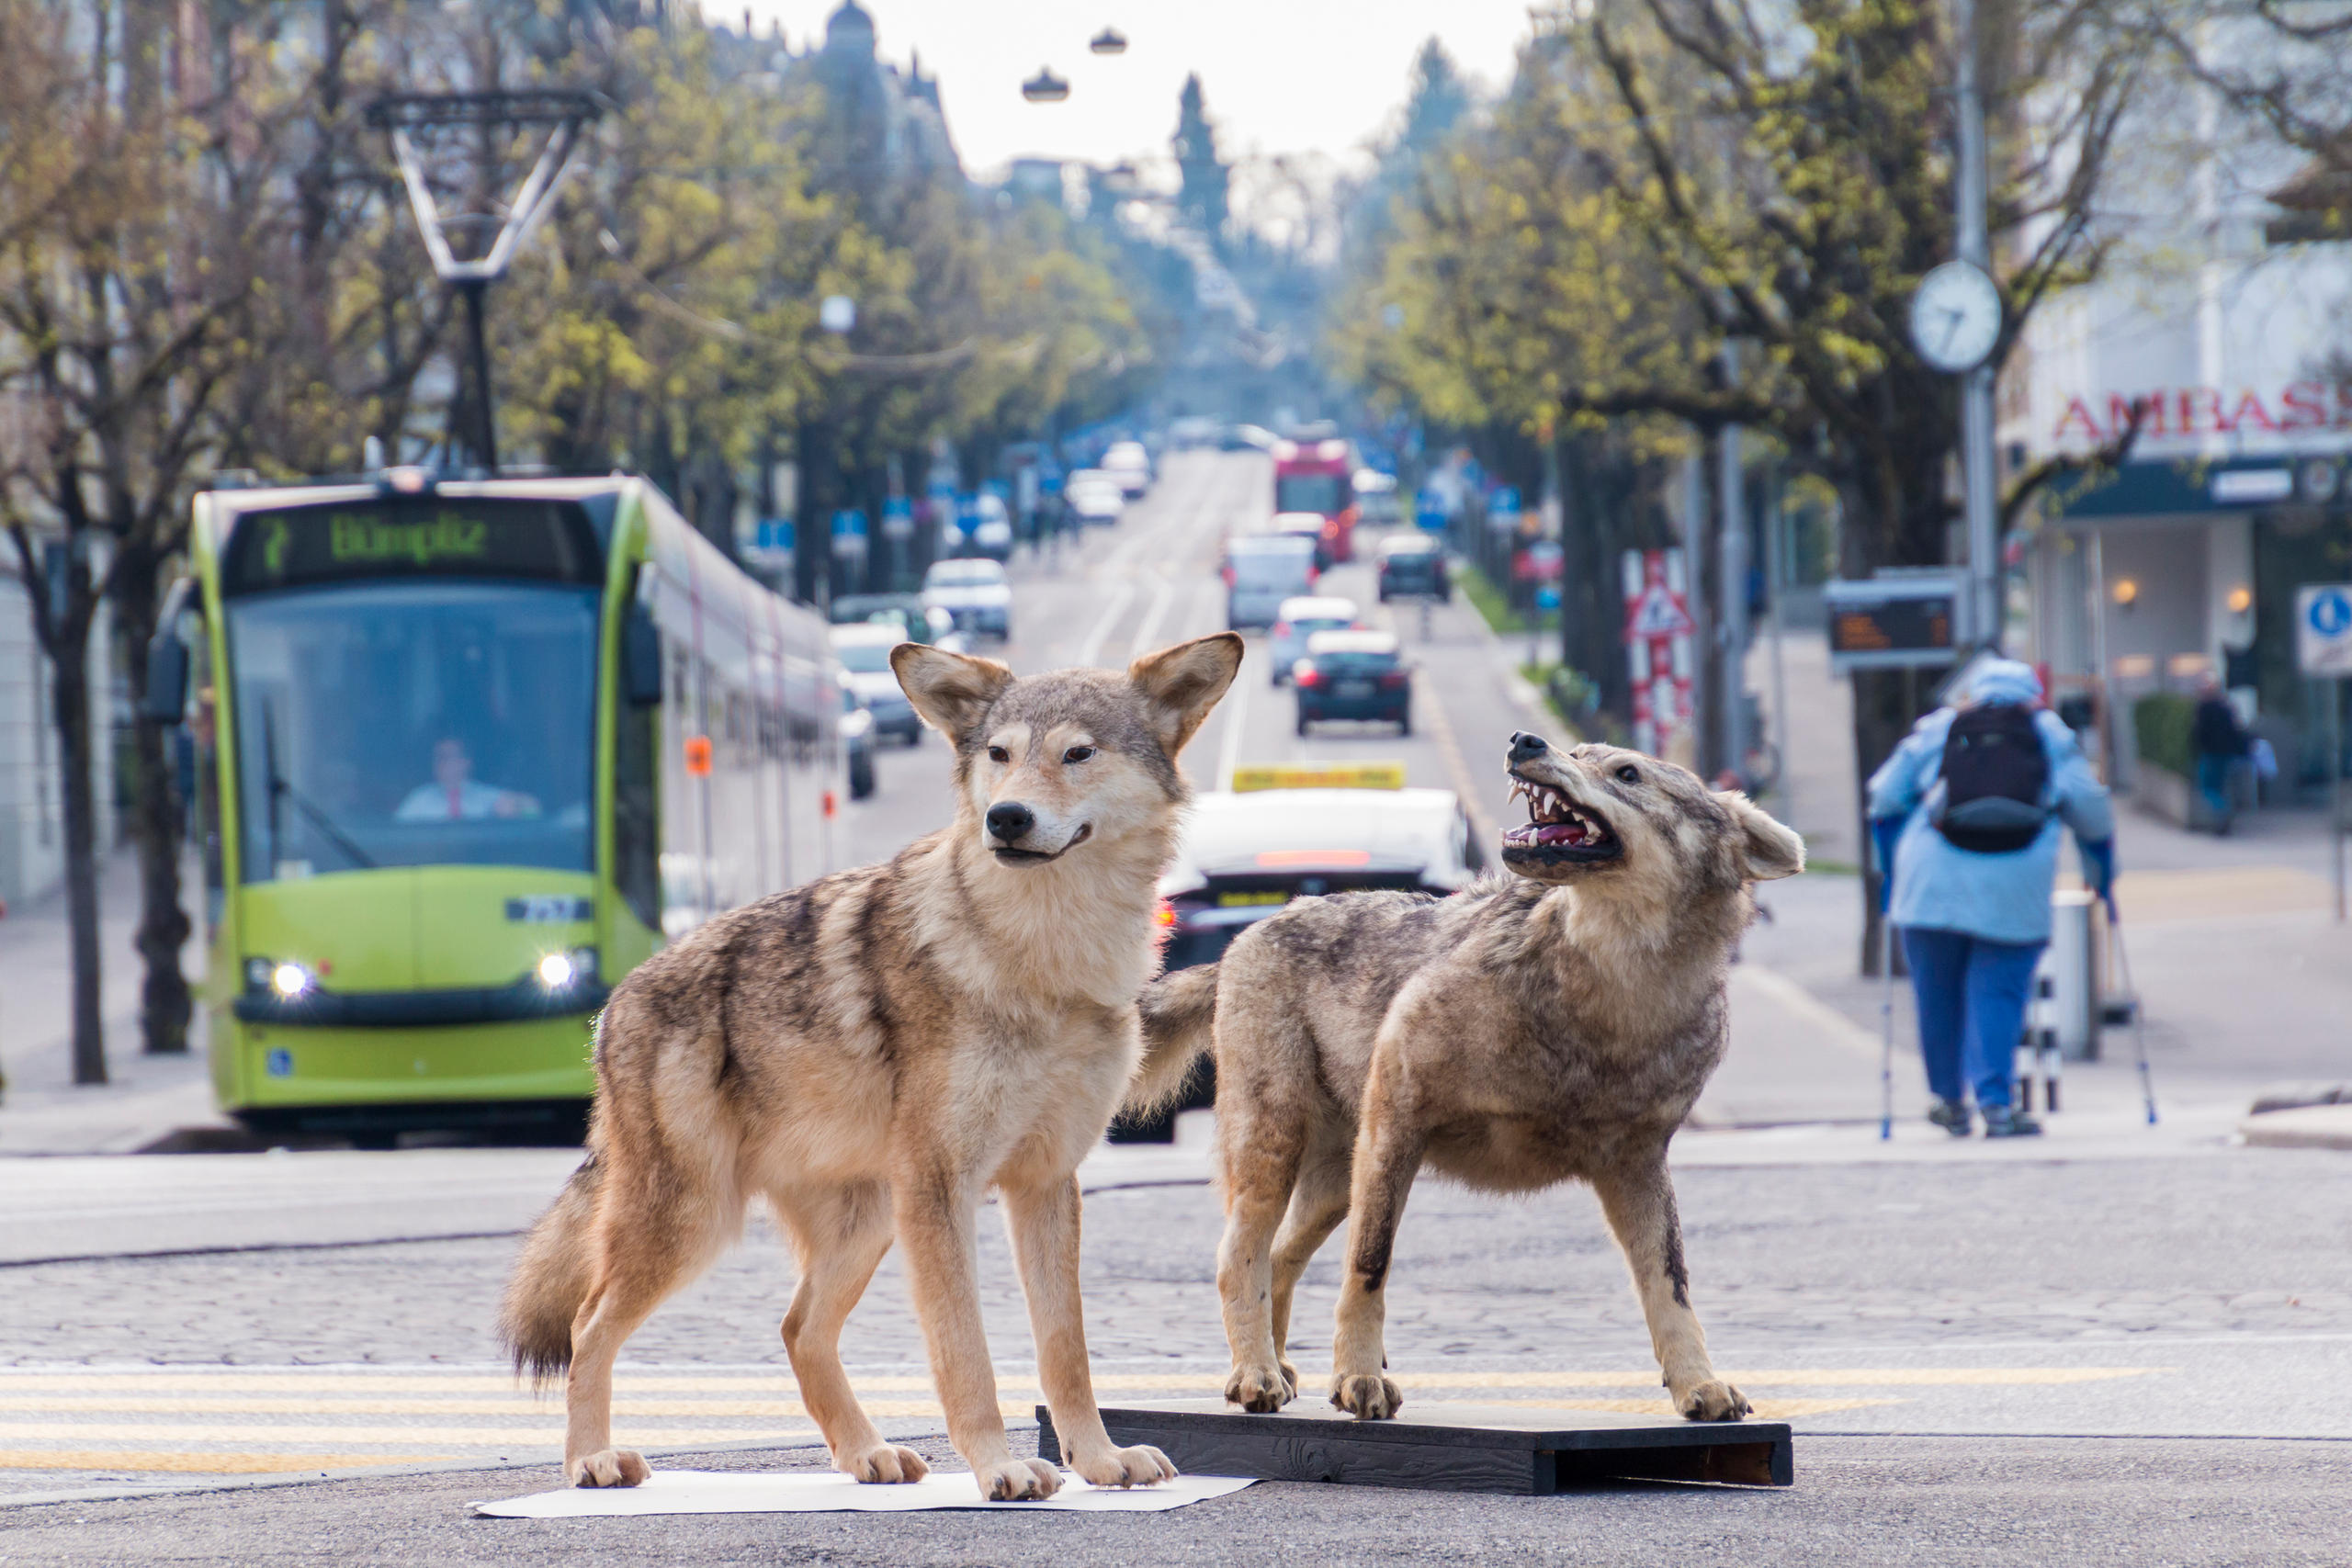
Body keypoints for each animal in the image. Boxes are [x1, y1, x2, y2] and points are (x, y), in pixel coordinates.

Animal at [1128, 728, 1806, 1429]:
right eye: (1578, 751)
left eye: (1626, 772)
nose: (1526, 740)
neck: (1616, 996)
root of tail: (1250, 932)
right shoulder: (1398, 1116)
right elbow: (1370, 1265)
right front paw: (1360, 1378)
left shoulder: (1638, 1164)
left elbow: (1670, 1285)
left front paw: (1700, 1384)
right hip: (1283, 1149)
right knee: (1239, 1256)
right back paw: (1255, 1375)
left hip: (1337, 1180)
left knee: (1281, 1257)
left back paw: (1280, 1368)